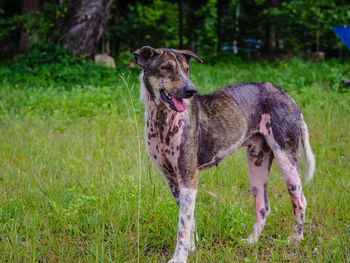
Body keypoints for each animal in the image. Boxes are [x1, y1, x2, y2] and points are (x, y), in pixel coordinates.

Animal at [133, 46, 314, 262]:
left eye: (187, 69)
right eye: (166, 68)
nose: (191, 91)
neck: (162, 120)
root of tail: (288, 96)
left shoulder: (188, 177)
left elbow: (183, 225)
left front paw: (180, 256)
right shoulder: (173, 180)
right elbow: (189, 219)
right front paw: (192, 248)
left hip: (286, 160)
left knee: (300, 201)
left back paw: (295, 240)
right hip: (257, 164)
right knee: (263, 207)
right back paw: (252, 240)